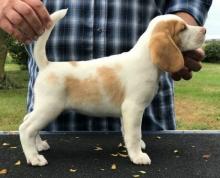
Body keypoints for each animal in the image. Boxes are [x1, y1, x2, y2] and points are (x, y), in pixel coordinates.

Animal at [18, 9, 206, 166]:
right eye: (183, 28)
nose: (204, 30)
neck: (146, 58)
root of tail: (47, 66)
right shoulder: (133, 108)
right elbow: (134, 134)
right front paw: (137, 156)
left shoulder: (127, 112)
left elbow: (127, 131)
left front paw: (136, 147)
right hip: (50, 108)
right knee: (26, 128)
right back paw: (34, 157)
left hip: (43, 107)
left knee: (28, 121)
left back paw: (39, 145)